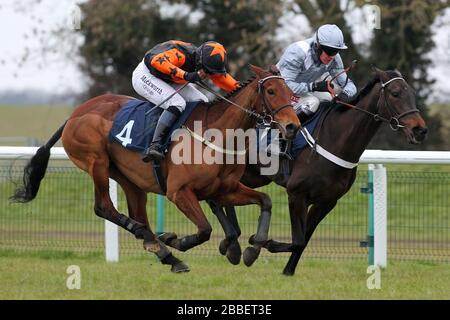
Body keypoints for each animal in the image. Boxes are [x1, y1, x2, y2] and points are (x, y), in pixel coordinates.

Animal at [10, 64, 300, 272]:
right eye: (271, 92)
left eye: (291, 93)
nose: (292, 126)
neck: (217, 135)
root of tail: (74, 114)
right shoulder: (179, 192)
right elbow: (204, 229)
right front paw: (176, 240)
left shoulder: (224, 189)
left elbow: (264, 200)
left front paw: (254, 248)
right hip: (97, 162)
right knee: (104, 207)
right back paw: (155, 240)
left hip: (129, 178)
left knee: (136, 212)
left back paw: (164, 252)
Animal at [209, 69, 428, 276]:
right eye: (395, 93)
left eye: (412, 94)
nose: (420, 130)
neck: (335, 139)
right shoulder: (296, 193)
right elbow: (297, 240)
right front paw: (260, 243)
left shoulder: (327, 201)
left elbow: (303, 240)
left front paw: (287, 271)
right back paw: (233, 243)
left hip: (251, 176)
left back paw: (232, 244)